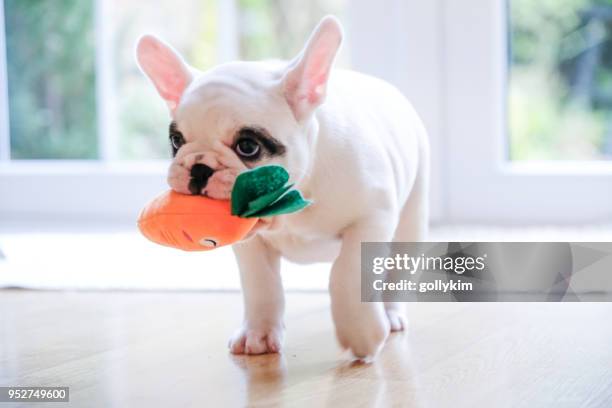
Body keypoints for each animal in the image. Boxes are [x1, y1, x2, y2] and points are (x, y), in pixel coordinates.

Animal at [136, 15, 428, 360]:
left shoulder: (371, 217)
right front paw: (259, 333)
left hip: (410, 222)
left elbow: (347, 272)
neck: (296, 200)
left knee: (397, 269)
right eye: (176, 141)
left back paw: (391, 314)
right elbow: (261, 284)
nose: (199, 167)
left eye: (248, 146)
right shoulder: (250, 246)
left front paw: (361, 331)